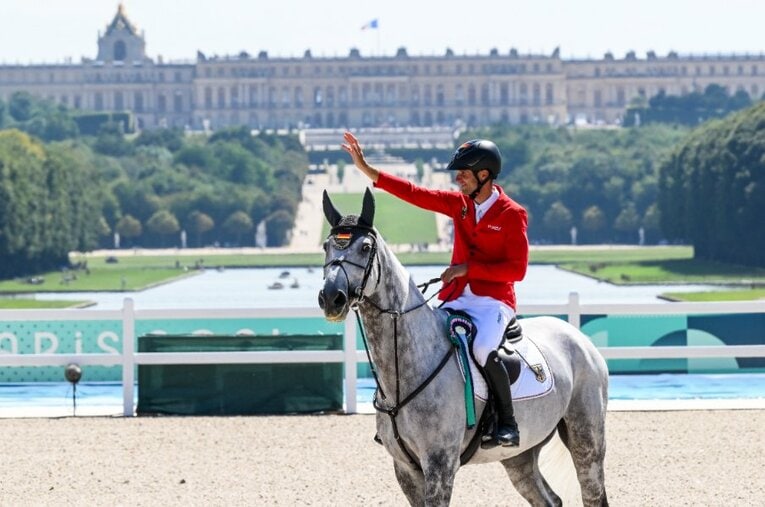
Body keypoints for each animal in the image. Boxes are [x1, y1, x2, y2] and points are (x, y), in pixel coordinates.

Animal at [318, 188, 609, 506]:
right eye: (326, 247)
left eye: (365, 247)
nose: (331, 298)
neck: (405, 372)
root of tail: (579, 337)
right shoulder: (406, 469)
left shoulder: (440, 464)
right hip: (520, 455)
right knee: (549, 499)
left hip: (586, 440)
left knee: (593, 492)